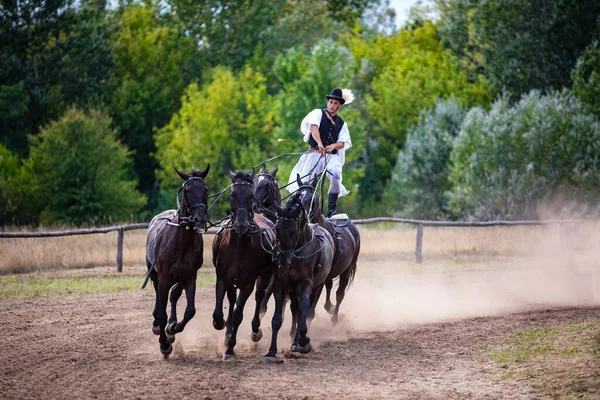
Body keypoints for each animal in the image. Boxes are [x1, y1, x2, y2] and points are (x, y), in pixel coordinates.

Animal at [144, 166, 210, 356]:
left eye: (205, 189)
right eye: (188, 190)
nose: (200, 220)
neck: (179, 242)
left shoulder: (190, 277)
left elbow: (190, 311)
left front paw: (172, 329)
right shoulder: (164, 278)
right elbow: (162, 313)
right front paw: (164, 344)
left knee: (173, 296)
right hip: (155, 275)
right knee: (159, 299)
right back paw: (157, 325)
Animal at [211, 167, 276, 360]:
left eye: (250, 195)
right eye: (232, 194)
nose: (241, 224)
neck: (238, 244)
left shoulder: (248, 283)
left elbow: (239, 314)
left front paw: (230, 349)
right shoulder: (222, 277)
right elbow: (220, 312)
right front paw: (222, 326)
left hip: (264, 275)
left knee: (259, 297)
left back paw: (255, 330)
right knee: (233, 300)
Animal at [264, 193, 336, 362]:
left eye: (293, 230)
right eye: (277, 228)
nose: (283, 261)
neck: (297, 253)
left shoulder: (306, 284)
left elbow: (304, 309)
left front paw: (303, 342)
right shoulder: (281, 285)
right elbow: (277, 319)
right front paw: (271, 351)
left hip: (318, 286)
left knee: (307, 311)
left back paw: (298, 343)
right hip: (293, 290)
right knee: (296, 311)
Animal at [296, 175, 360, 324]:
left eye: (313, 199)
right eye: (298, 196)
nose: (301, 216)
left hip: (347, 269)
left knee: (339, 294)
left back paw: (334, 319)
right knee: (330, 287)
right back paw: (330, 308)